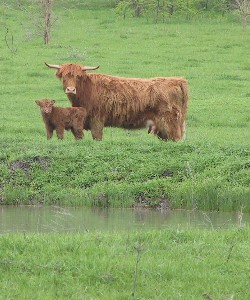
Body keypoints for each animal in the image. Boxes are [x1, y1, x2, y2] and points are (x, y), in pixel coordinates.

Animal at [46, 62, 188, 142]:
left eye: (78, 76)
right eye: (64, 76)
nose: (70, 89)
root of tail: (177, 80)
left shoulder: (97, 120)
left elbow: (97, 137)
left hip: (170, 123)